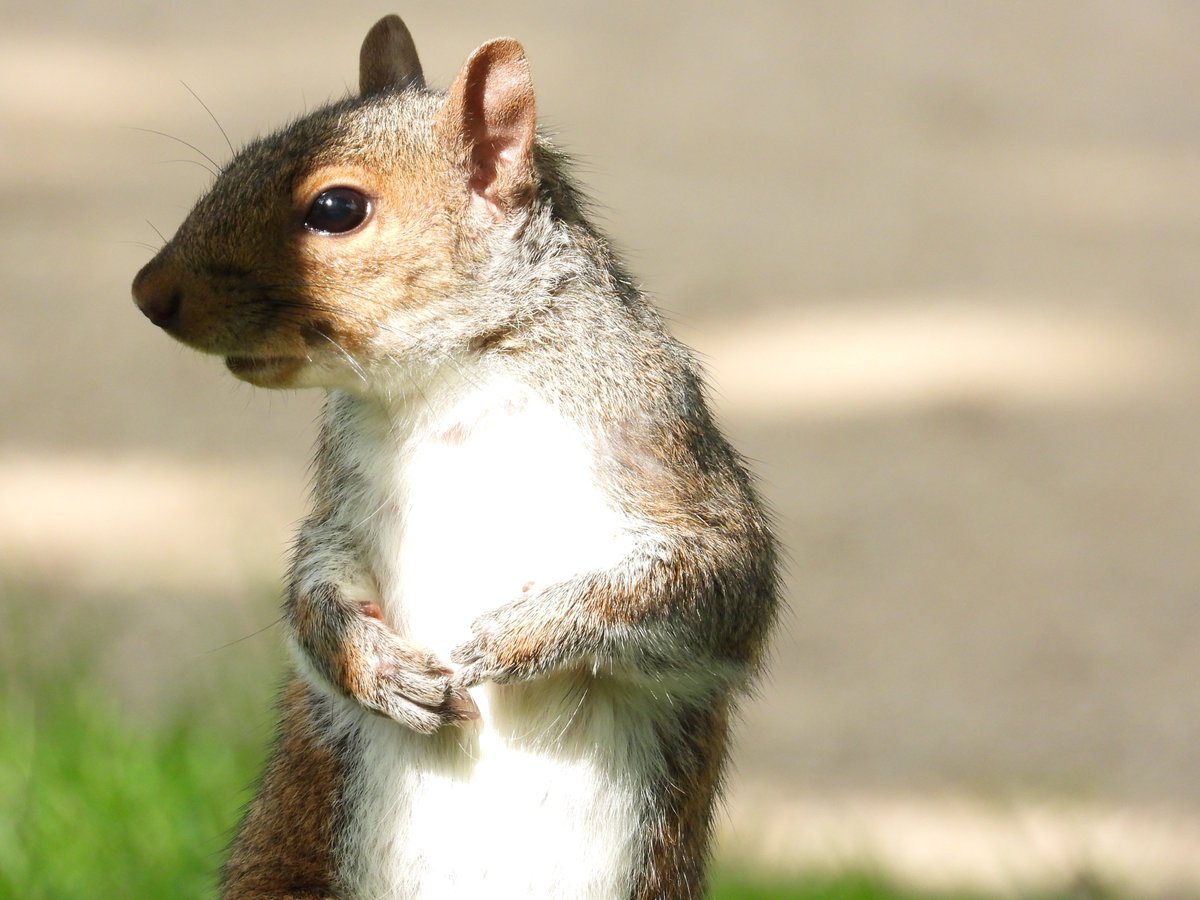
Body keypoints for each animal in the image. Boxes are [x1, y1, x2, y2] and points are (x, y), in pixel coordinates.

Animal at [132, 14, 778, 900]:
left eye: (336, 208)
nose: (147, 292)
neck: (449, 384)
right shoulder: (343, 502)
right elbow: (311, 591)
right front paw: (373, 666)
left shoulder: (665, 450)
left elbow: (713, 582)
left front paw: (517, 635)